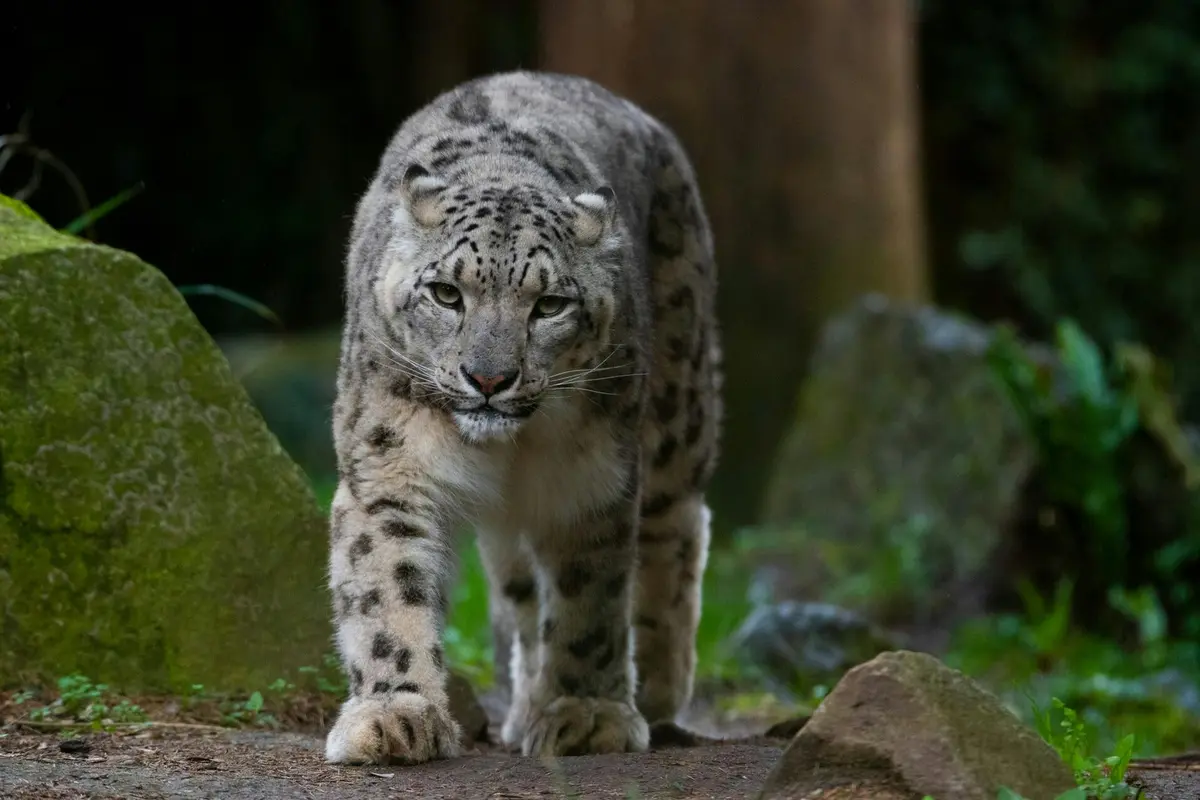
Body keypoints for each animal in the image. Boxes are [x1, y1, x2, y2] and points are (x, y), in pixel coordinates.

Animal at [324, 70, 722, 765]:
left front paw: (587, 714)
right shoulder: (389, 460)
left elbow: (590, 596)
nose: (488, 379)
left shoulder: (589, 477)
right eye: (446, 293)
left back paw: (659, 683)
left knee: (676, 522)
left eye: (550, 305)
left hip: (678, 402)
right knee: (520, 584)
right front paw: (395, 714)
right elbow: (387, 582)